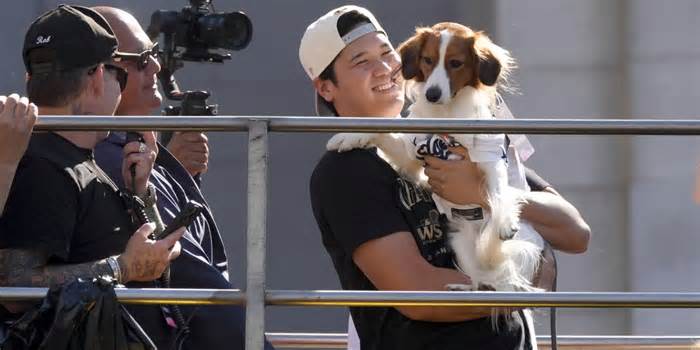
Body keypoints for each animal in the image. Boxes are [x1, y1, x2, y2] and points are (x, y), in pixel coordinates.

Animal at [328, 22, 540, 296]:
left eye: (456, 63)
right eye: (427, 60)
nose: (432, 94)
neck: (447, 116)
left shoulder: (489, 155)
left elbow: (498, 191)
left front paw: (504, 220)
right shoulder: (412, 153)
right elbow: (381, 132)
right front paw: (348, 136)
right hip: (460, 241)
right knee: (480, 277)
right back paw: (468, 287)